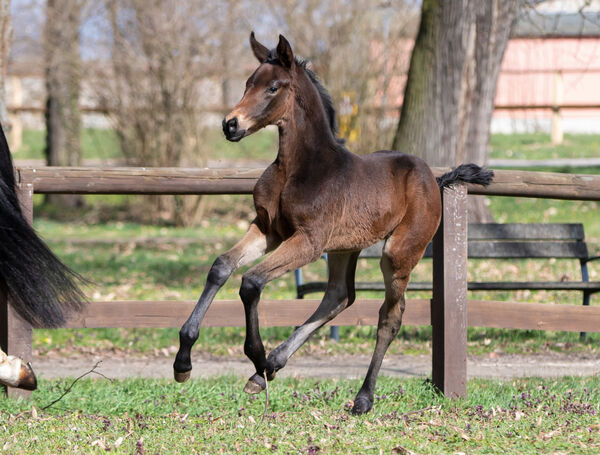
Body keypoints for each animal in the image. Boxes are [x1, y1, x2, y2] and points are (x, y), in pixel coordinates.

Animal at [173, 33, 492, 416]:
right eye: (248, 83)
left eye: (273, 88)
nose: (230, 125)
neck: (298, 168)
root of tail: (436, 177)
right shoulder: (267, 230)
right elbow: (221, 267)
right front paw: (183, 361)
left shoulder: (308, 242)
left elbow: (251, 282)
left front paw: (257, 355)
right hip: (343, 248)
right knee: (339, 296)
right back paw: (271, 368)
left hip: (398, 253)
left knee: (390, 316)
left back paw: (362, 397)